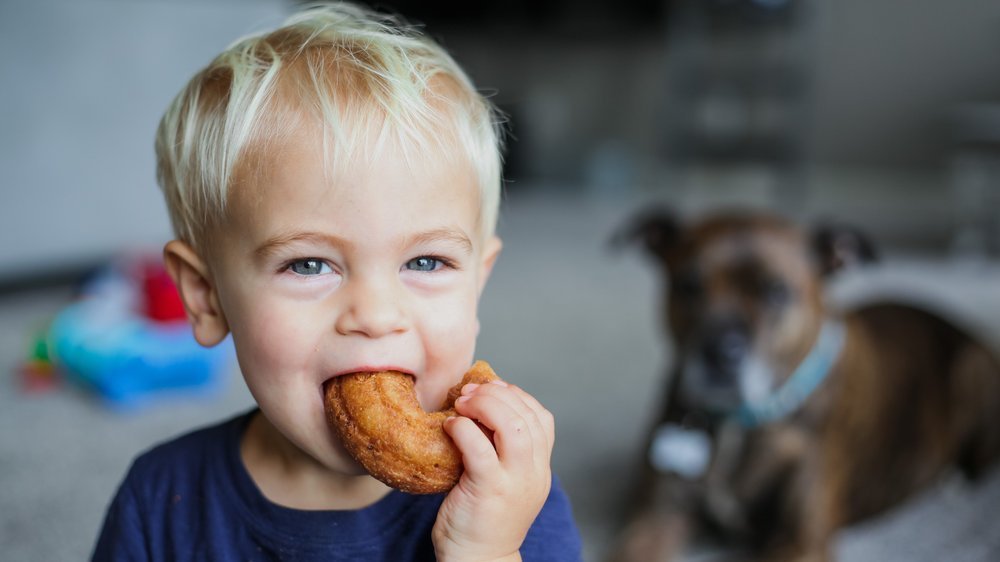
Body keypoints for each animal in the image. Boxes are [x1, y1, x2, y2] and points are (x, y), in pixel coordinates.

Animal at [604, 208, 1000, 560]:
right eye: (689, 285)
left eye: (777, 291)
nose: (719, 354)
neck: (740, 423)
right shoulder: (653, 520)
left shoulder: (799, 541)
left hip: (974, 371)